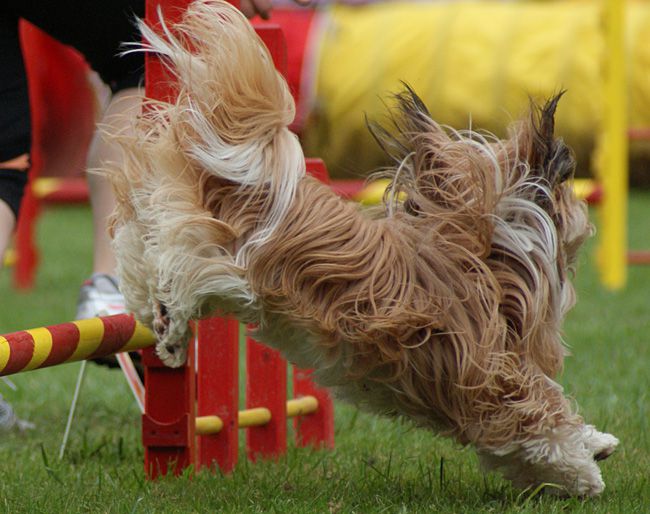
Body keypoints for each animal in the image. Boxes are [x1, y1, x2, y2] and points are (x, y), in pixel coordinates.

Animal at [107, 0, 616, 496]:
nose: (581, 209)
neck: (487, 256)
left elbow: (524, 439)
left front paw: (595, 445)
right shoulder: (486, 378)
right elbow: (540, 415)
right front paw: (585, 471)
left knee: (139, 244)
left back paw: (156, 318)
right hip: (221, 258)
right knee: (170, 257)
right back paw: (170, 327)